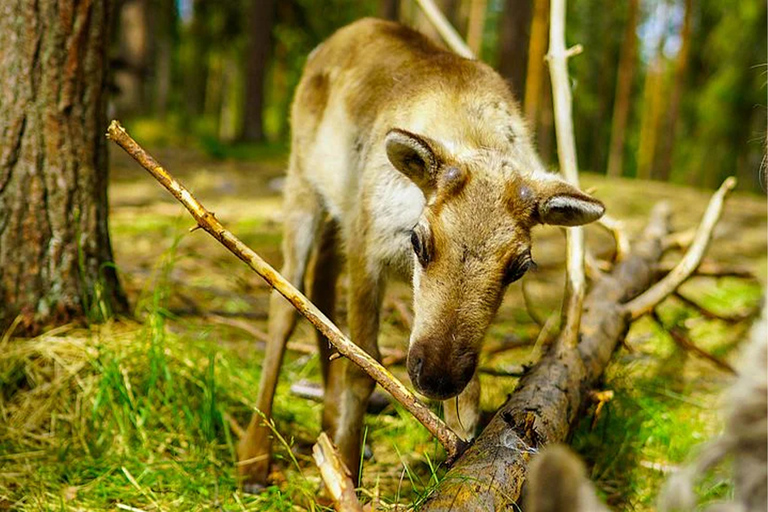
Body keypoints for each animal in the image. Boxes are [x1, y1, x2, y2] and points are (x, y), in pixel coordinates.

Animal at [237, 18, 604, 490]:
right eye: (419, 242)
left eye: (519, 268)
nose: (435, 376)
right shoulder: (367, 249)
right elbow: (362, 365)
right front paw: (344, 477)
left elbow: (470, 396)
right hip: (303, 183)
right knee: (284, 300)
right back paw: (254, 458)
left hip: (339, 213)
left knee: (319, 287)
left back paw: (327, 419)